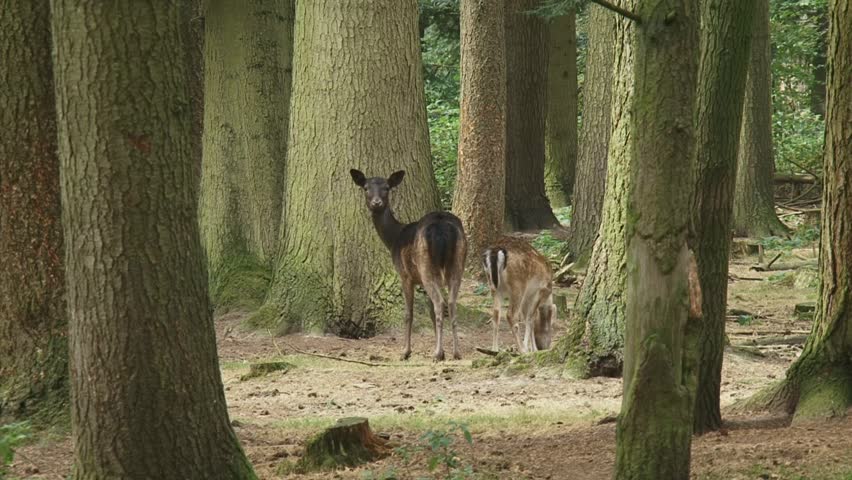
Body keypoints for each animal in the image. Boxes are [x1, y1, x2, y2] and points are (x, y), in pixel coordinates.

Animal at [350, 169, 468, 361]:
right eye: (366, 188)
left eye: (387, 188)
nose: (376, 203)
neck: (394, 239)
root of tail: (442, 228)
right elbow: (429, 312)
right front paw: (442, 350)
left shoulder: (405, 275)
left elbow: (408, 313)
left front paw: (406, 351)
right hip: (458, 262)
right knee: (450, 303)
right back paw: (456, 352)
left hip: (426, 265)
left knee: (440, 303)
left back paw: (436, 354)